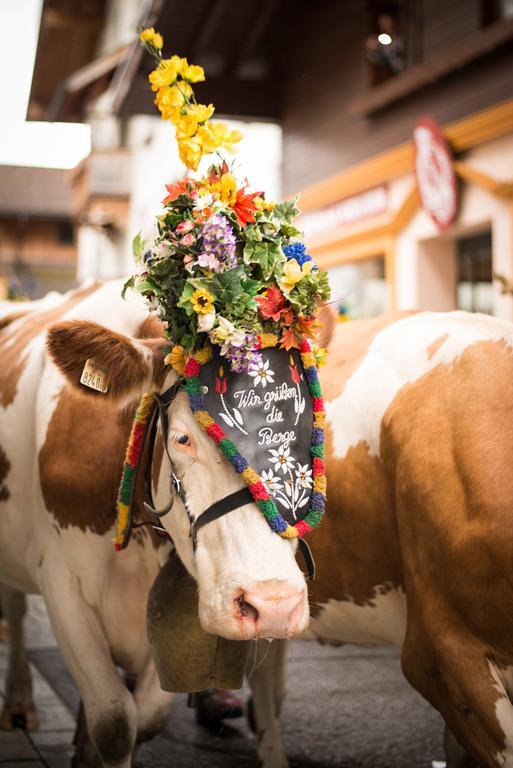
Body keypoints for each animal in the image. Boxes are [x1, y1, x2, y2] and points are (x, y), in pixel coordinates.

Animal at [0, 282, 308, 768]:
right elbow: (114, 723)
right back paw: (17, 702)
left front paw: (85, 749)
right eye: (182, 437)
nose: (274, 602)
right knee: (12, 604)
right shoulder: (61, 584)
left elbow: (147, 716)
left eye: (307, 433)